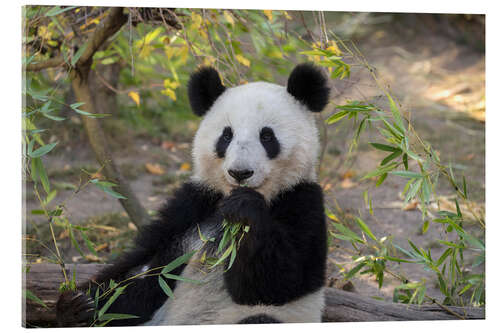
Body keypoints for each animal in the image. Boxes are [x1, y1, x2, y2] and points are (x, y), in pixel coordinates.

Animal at [56, 61, 330, 324]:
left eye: (267, 136)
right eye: (226, 136)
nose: (240, 173)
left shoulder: (302, 199)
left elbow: (279, 281)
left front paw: (244, 209)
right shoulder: (195, 202)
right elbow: (139, 267)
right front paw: (76, 304)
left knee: (260, 319)